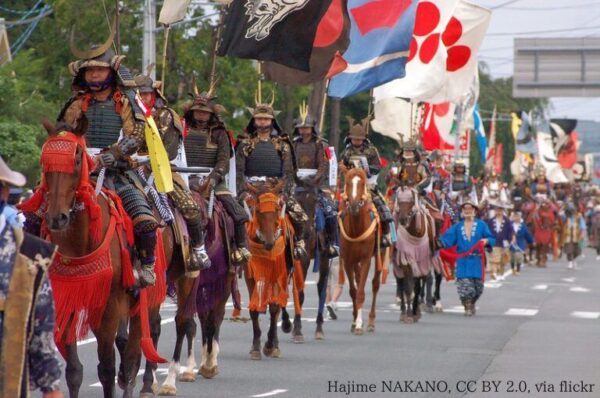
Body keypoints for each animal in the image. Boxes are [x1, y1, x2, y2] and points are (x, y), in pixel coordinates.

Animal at [282, 187, 332, 342]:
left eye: (314, 202)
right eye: (297, 200)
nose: (307, 233)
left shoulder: (304, 259)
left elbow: (299, 292)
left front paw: (297, 329)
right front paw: (287, 324)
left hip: (323, 256)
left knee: (321, 288)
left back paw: (319, 328)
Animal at [338, 168, 384, 336]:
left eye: (362, 183)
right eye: (347, 183)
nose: (353, 205)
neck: (356, 229)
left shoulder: (366, 259)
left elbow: (361, 292)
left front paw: (358, 324)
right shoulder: (348, 259)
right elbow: (353, 290)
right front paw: (354, 321)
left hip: (381, 252)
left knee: (375, 284)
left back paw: (370, 322)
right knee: (358, 281)